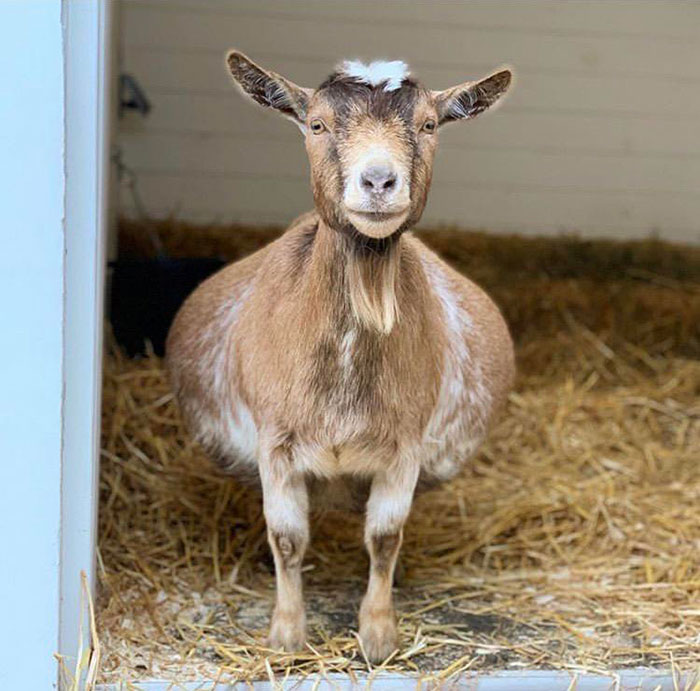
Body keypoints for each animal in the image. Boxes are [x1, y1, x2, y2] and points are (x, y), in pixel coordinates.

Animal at [166, 51, 515, 662]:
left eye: (429, 125)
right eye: (316, 124)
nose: (378, 180)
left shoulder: (405, 445)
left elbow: (384, 537)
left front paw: (378, 635)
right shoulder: (275, 442)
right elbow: (287, 538)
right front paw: (286, 636)